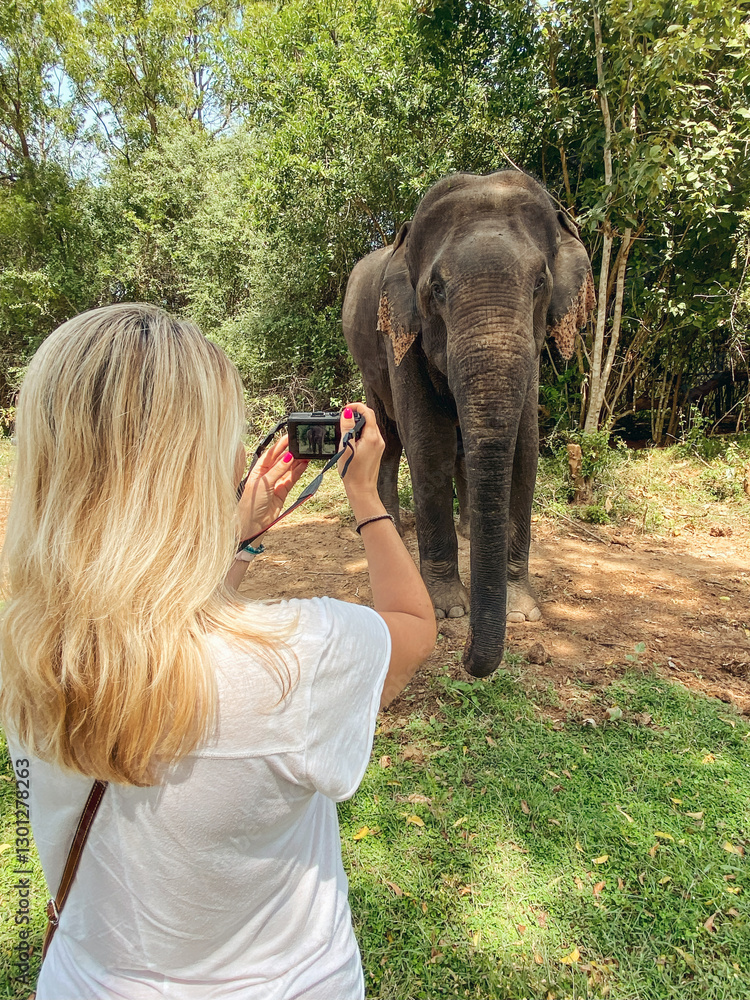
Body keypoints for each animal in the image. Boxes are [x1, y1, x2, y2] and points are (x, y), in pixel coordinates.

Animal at [342, 170, 595, 677]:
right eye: (436, 289)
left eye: (540, 282)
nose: (465, 655)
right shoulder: (401, 332)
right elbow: (427, 444)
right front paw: (449, 611)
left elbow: (524, 449)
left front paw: (521, 612)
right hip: (367, 359)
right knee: (392, 436)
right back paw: (395, 525)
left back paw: (463, 530)